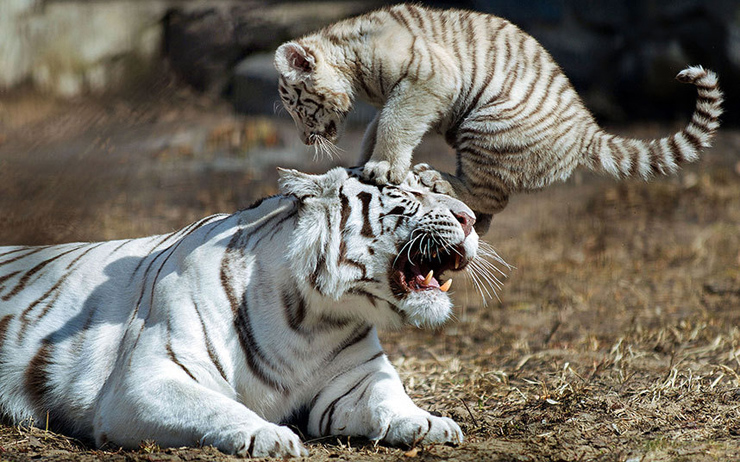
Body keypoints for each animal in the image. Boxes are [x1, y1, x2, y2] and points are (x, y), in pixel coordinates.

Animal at [0, 166, 480, 458]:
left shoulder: (357, 379)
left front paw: (430, 423)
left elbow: (389, 399)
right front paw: (269, 435)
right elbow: (215, 406)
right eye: (406, 193)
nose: (472, 218)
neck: (313, 319)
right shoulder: (145, 381)